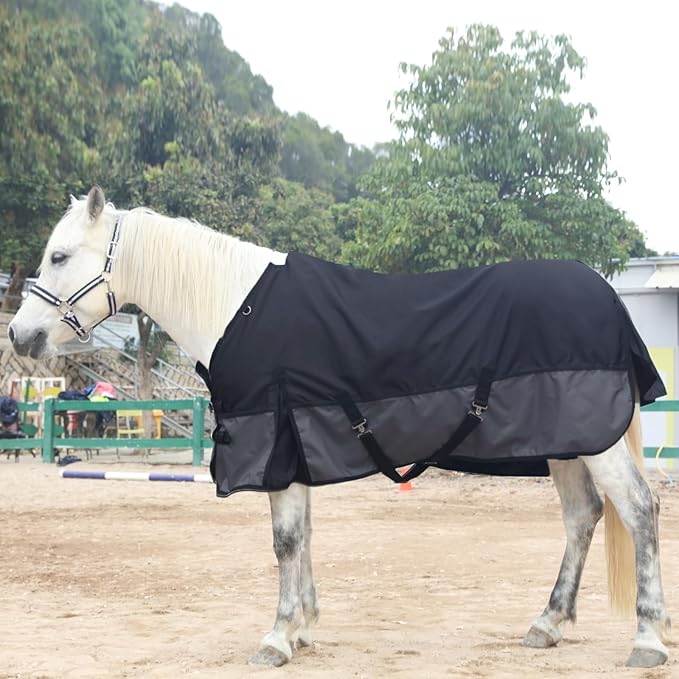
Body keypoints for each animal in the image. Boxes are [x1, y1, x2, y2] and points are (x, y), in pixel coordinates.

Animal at [7, 186, 670, 669]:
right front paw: (302, 629)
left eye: (60, 257)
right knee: (582, 516)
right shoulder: (294, 446)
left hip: (595, 442)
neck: (234, 306)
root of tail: (606, 294)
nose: (19, 335)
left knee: (639, 509)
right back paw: (547, 624)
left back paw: (647, 640)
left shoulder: (275, 446)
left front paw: (276, 637)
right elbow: (300, 538)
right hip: (568, 443)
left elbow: (284, 541)